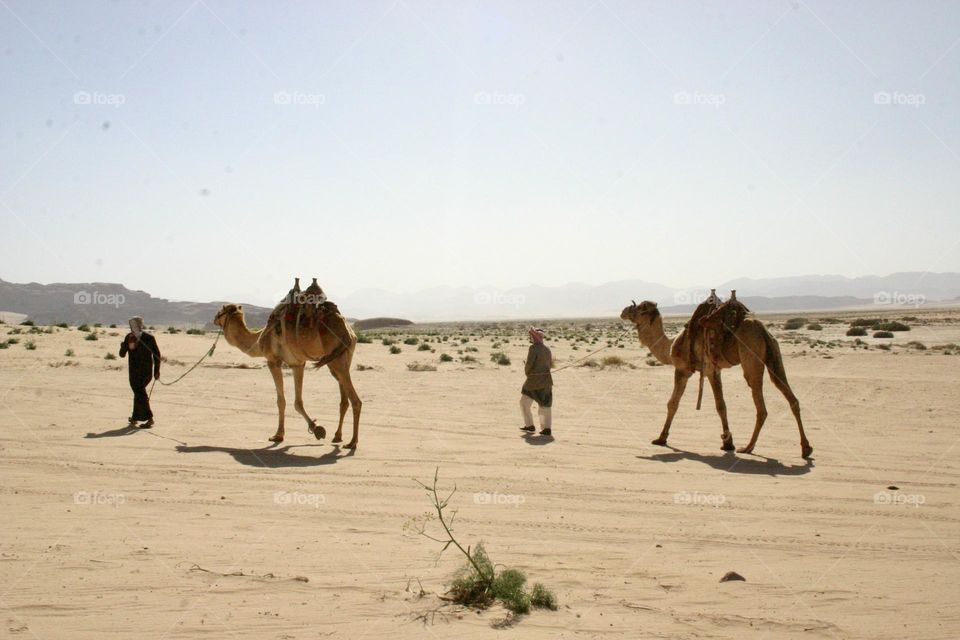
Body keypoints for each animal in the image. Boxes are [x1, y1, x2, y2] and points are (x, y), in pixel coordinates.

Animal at [213, 299, 362, 448]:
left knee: (356, 401)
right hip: (340, 358)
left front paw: (278, 435)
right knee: (344, 400)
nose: (214, 319)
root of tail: (349, 332)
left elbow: (281, 401)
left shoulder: (273, 361)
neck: (259, 338)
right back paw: (337, 436)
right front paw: (316, 429)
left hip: (336, 360)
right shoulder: (297, 364)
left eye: (220, 311)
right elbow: (298, 402)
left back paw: (352, 442)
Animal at [620, 299, 812, 458]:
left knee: (761, 406)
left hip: (751, 356)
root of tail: (763, 330)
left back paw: (748, 447)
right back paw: (806, 448)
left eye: (640, 308)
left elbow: (676, 404)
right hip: (774, 354)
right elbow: (720, 405)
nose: (623, 310)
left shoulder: (687, 370)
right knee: (790, 397)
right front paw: (727, 442)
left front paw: (661, 438)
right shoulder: (714, 370)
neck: (671, 345)